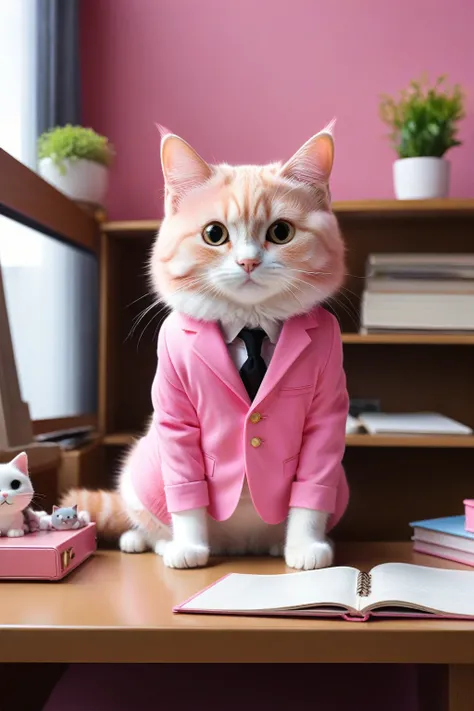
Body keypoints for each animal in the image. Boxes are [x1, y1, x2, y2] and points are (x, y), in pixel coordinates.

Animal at [61, 121, 346, 568]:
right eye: (215, 234)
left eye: (281, 232)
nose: (248, 262)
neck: (250, 325)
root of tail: (240, 545)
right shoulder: (176, 416)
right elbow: (187, 493)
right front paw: (189, 548)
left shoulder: (327, 414)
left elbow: (311, 491)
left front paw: (304, 547)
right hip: (140, 469)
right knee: (145, 519)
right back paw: (149, 541)